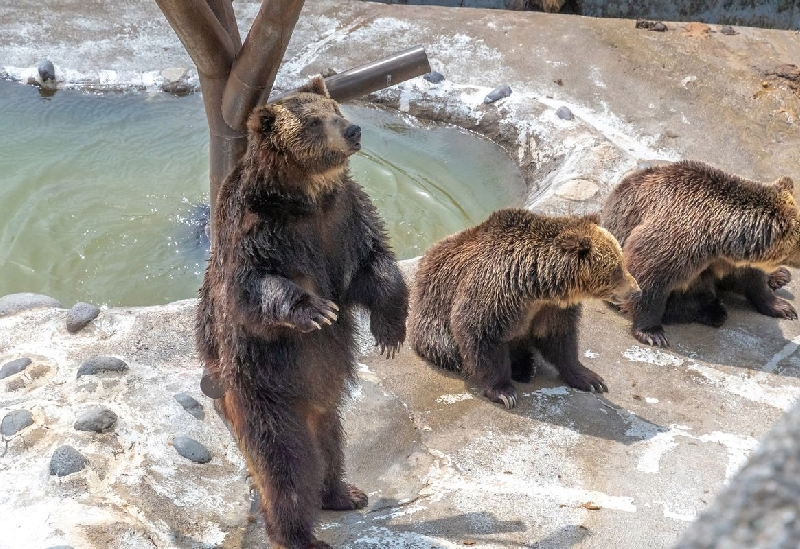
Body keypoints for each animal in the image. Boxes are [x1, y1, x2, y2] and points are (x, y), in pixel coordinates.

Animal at [194, 76, 406, 548]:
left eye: (336, 109)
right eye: (313, 122)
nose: (353, 131)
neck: (306, 194)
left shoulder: (345, 216)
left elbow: (374, 263)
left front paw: (390, 330)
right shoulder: (260, 228)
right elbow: (253, 286)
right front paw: (316, 311)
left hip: (322, 405)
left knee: (331, 444)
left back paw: (345, 492)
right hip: (264, 393)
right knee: (286, 464)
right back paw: (299, 533)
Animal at [410, 210, 640, 406]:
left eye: (621, 261)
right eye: (617, 268)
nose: (636, 291)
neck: (536, 286)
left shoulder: (551, 309)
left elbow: (559, 338)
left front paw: (590, 379)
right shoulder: (495, 290)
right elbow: (478, 331)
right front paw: (504, 392)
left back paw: (525, 365)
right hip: (432, 318)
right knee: (447, 349)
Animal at [604, 159, 800, 346]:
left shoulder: (736, 259)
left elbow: (755, 280)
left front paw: (782, 307)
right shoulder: (680, 240)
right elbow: (648, 273)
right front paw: (652, 333)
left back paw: (780, 276)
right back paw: (712, 310)